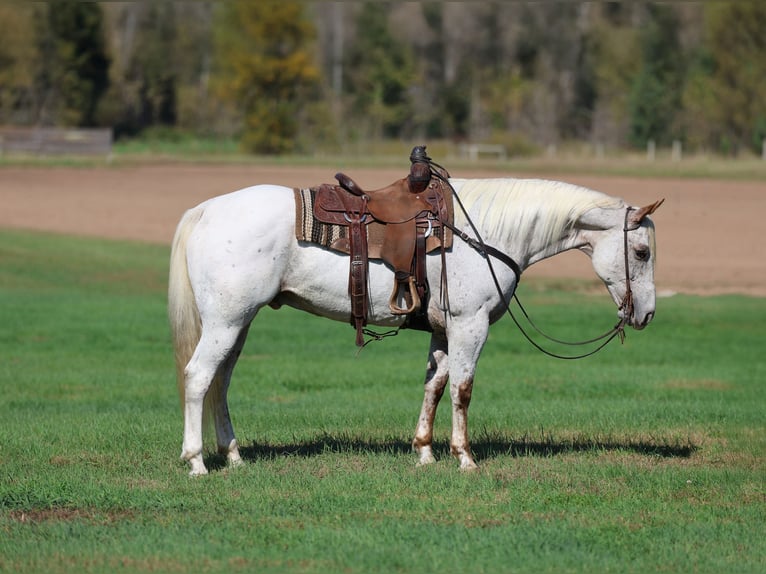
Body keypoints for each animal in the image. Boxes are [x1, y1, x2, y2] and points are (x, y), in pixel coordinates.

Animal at [168, 176, 663, 475]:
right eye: (642, 252)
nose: (646, 315)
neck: (486, 233)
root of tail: (205, 210)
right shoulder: (470, 325)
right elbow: (462, 389)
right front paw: (465, 457)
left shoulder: (445, 330)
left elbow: (435, 385)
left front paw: (424, 450)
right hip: (226, 322)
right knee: (199, 377)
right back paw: (196, 461)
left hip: (238, 324)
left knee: (221, 382)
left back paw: (234, 456)